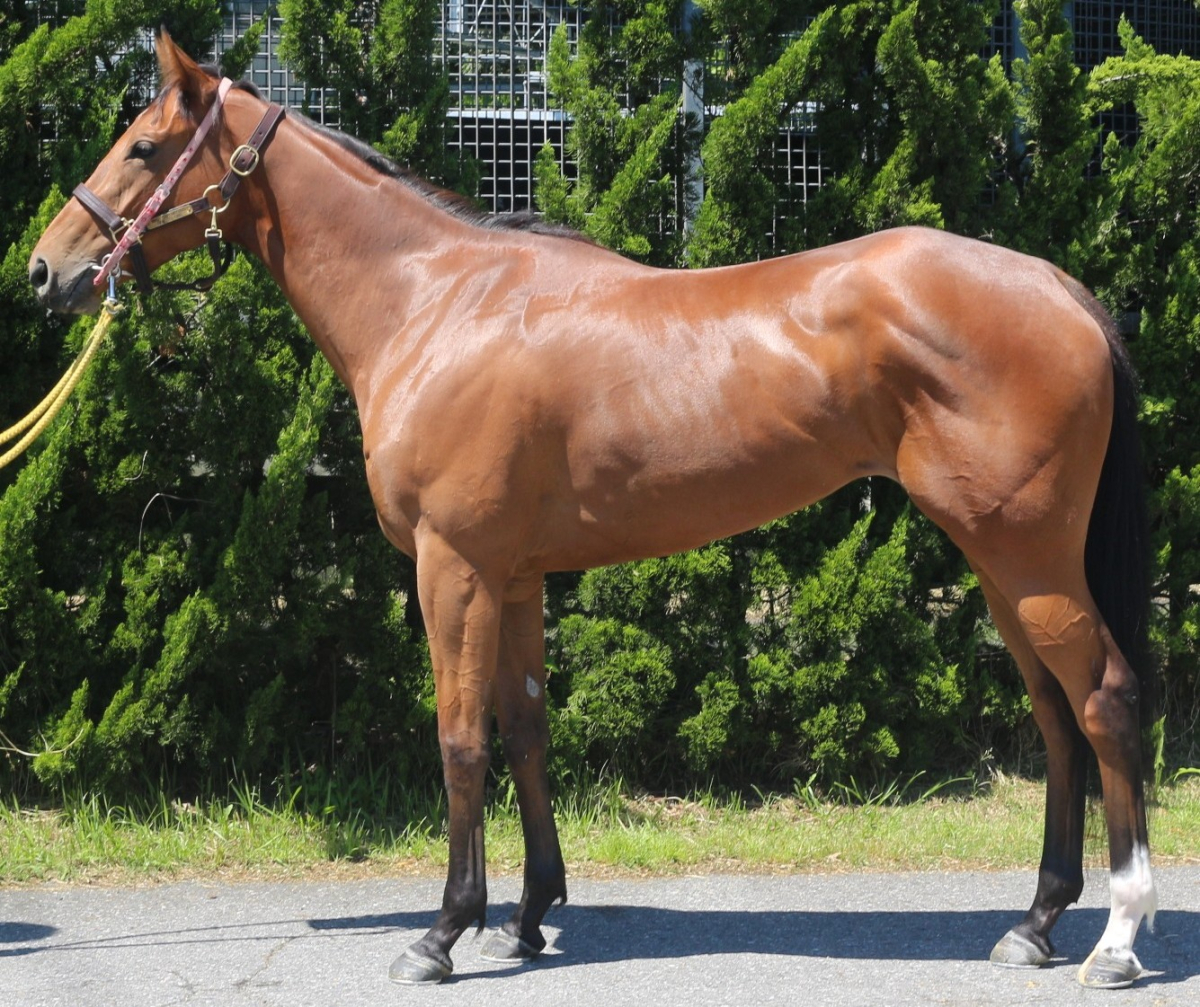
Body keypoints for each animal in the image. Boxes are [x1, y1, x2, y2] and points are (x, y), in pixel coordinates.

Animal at [28, 32, 1156, 990]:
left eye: (144, 145)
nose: (49, 270)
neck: (437, 303)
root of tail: (1060, 287)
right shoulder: (515, 574)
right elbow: (527, 728)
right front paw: (528, 916)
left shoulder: (453, 566)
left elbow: (461, 739)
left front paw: (443, 932)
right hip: (997, 559)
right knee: (1054, 713)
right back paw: (1035, 923)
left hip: (1030, 557)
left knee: (1103, 700)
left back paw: (1117, 935)